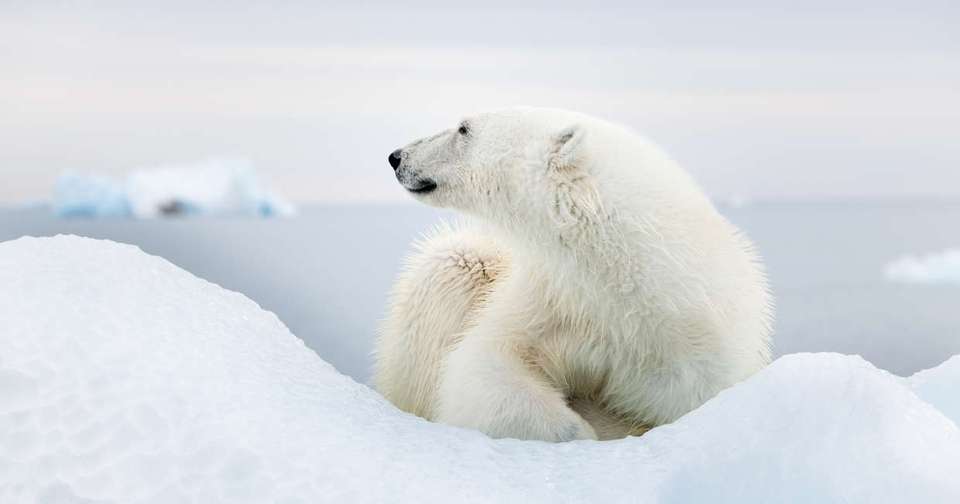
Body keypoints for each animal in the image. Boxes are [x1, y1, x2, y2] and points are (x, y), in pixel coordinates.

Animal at [375, 107, 773, 442]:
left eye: (463, 128)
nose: (396, 156)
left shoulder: (697, 354)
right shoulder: (554, 299)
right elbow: (485, 366)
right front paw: (578, 428)